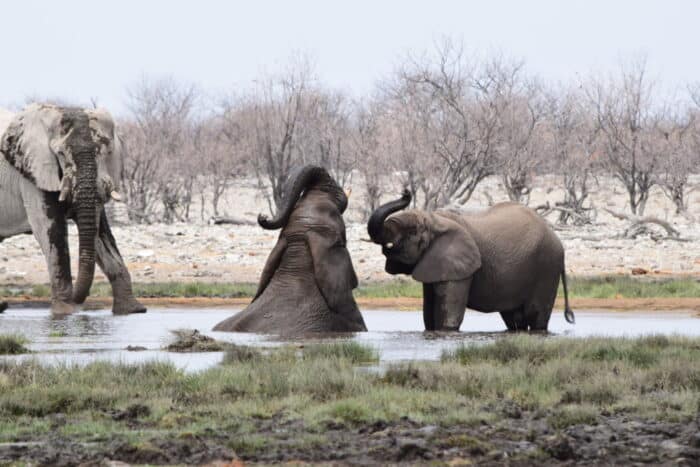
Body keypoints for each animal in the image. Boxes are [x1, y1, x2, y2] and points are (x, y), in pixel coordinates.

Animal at [0, 104, 146, 316]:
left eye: (106, 151)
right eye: (60, 153)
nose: (79, 302)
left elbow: (100, 234)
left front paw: (132, 311)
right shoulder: (33, 174)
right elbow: (51, 230)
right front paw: (65, 312)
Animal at [367, 190, 575, 331]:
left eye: (412, 231)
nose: (406, 192)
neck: (435, 220)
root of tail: (558, 241)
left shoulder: (458, 266)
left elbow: (448, 318)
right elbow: (429, 315)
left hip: (547, 266)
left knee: (536, 316)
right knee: (515, 319)